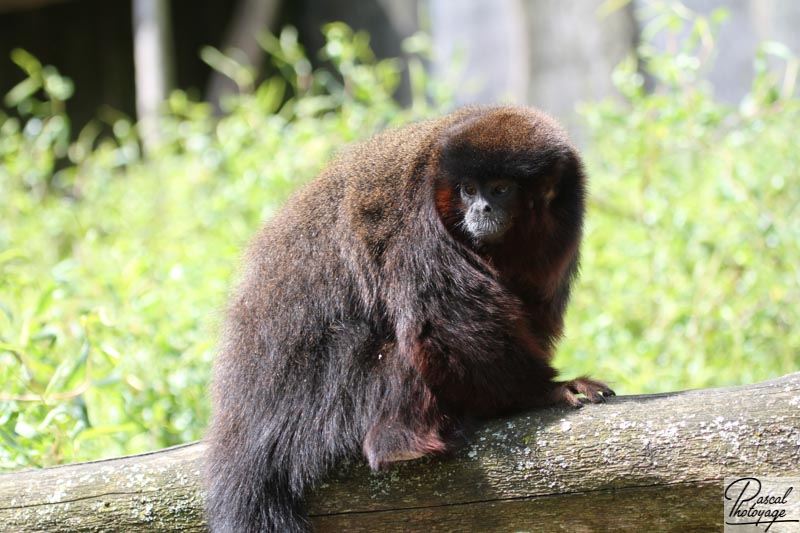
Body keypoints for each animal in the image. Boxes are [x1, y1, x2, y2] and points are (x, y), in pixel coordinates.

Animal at [205, 106, 612, 528]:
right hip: (318, 402)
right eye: (468, 189)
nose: (480, 209)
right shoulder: (417, 225)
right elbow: (446, 326)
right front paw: (542, 391)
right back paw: (399, 443)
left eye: (500, 189)